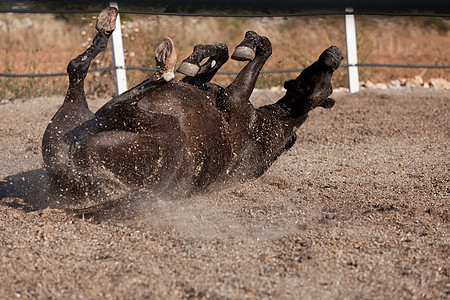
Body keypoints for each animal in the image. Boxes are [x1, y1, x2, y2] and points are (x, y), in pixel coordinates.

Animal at [43, 7, 344, 199]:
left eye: (326, 86)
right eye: (315, 73)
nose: (335, 54)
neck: (277, 121)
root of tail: (73, 172)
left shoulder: (232, 100)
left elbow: (264, 51)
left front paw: (250, 44)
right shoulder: (206, 87)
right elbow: (213, 60)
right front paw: (203, 54)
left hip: (166, 130)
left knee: (113, 104)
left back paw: (164, 63)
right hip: (68, 118)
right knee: (77, 69)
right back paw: (108, 26)